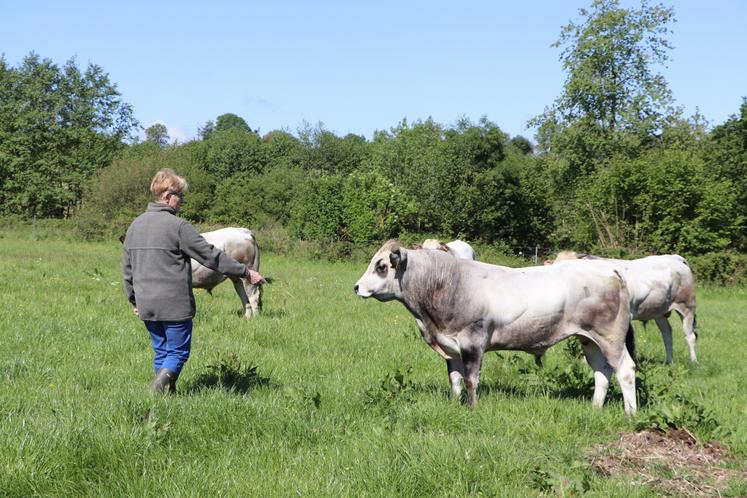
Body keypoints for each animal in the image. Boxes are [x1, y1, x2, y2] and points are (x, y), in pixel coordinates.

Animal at [354, 241, 637, 415]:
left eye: (381, 266)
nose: (356, 287)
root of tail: (608, 268)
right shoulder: (451, 347)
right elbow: (455, 379)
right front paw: (455, 405)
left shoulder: (473, 341)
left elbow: (471, 380)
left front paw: (471, 409)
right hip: (589, 339)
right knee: (602, 371)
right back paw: (595, 408)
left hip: (610, 337)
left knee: (625, 370)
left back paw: (630, 414)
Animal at [550, 251, 697, 364]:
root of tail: (675, 258)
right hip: (659, 313)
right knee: (667, 334)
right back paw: (668, 362)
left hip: (687, 307)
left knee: (689, 336)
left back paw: (693, 362)